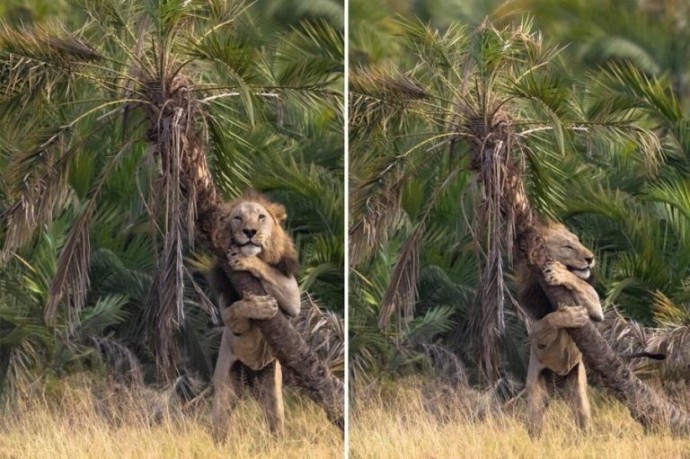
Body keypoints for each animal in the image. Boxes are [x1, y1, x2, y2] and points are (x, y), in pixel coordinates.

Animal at [207, 193, 298, 442]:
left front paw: (248, 261)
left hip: (271, 385)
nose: (249, 231)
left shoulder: (293, 295)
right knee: (219, 422)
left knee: (275, 419)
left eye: (261, 217)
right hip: (226, 385)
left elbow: (268, 270)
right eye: (237, 218)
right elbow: (238, 308)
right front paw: (260, 306)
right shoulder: (227, 311)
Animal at [516, 222, 600, 438]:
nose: (590, 258)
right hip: (536, 393)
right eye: (567, 247)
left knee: (582, 417)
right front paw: (571, 316)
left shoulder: (597, 310)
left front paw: (561, 273)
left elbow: (580, 284)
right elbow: (550, 319)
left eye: (579, 241)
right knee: (534, 423)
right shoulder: (533, 330)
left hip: (578, 389)